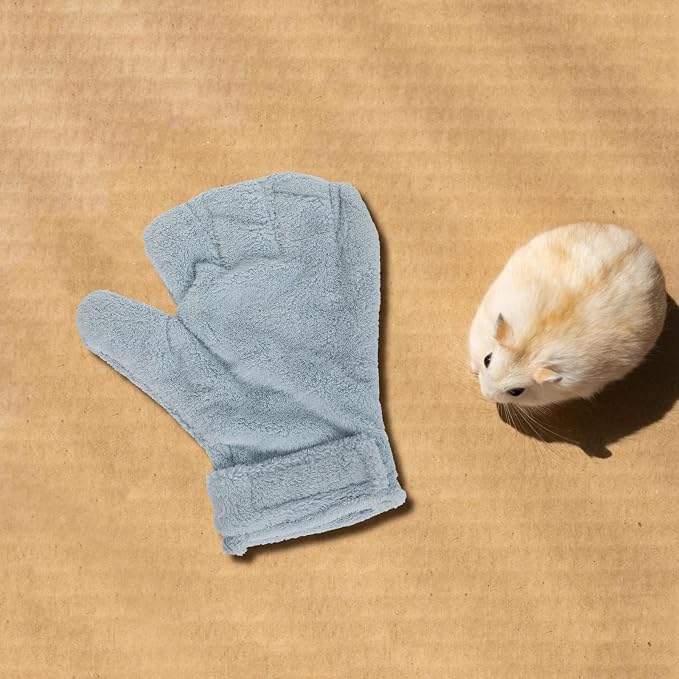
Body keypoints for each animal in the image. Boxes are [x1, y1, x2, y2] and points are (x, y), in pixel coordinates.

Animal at [469, 223, 666, 408]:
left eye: (516, 392)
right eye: (487, 359)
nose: (485, 394)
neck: (532, 345)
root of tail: (643, 248)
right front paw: (473, 368)